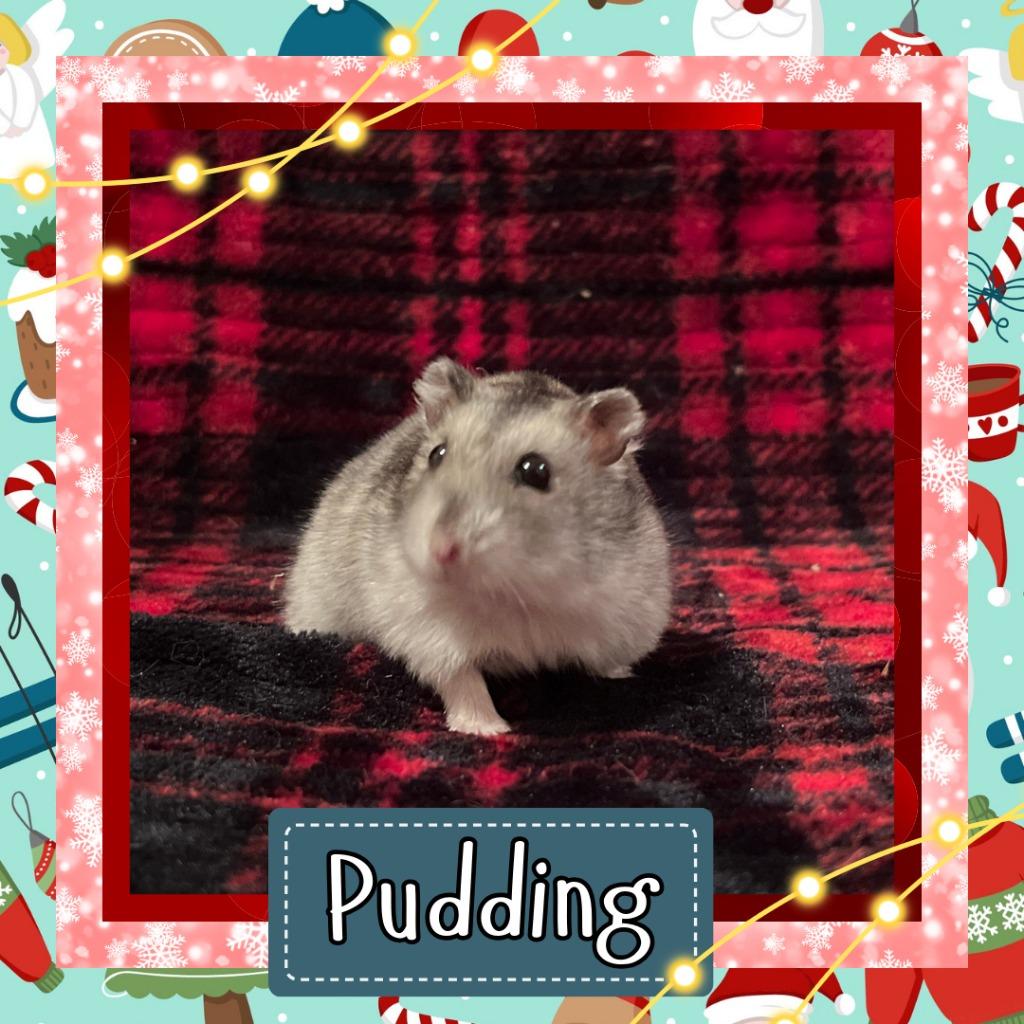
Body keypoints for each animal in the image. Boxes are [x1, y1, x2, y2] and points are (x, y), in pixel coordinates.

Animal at [283, 358, 672, 736]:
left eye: (536, 471)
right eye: (436, 454)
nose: (440, 550)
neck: (518, 589)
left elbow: (607, 659)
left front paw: (621, 674)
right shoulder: (427, 630)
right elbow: (462, 680)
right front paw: (488, 730)